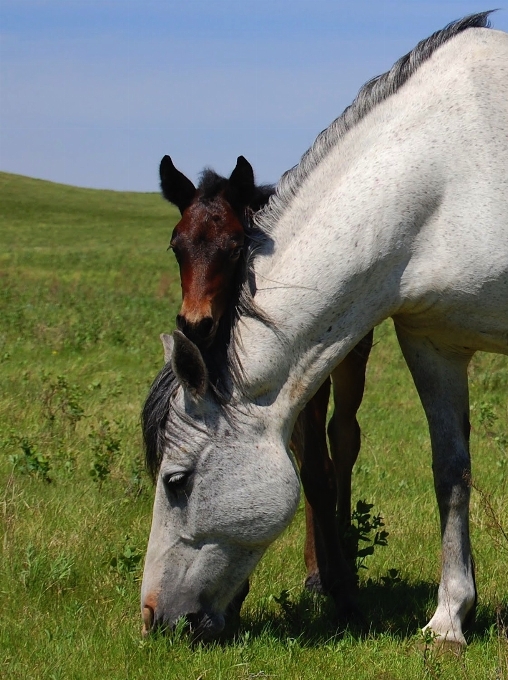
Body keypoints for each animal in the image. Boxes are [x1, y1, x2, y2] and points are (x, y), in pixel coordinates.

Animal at [159, 153, 374, 612]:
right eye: (176, 246)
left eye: (235, 247)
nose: (195, 324)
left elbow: (318, 473)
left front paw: (341, 582)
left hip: (351, 361)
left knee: (343, 439)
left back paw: (344, 549)